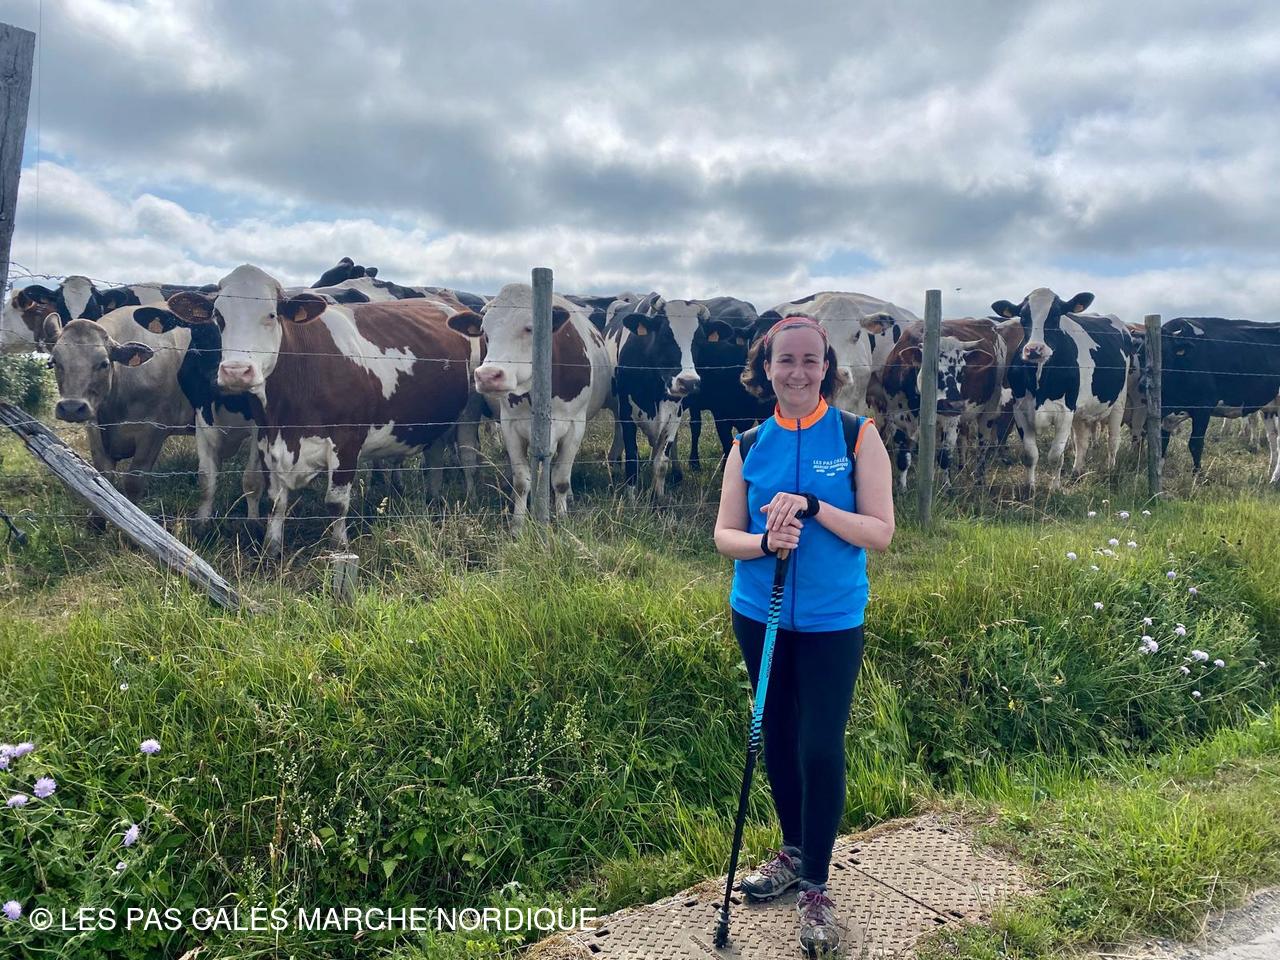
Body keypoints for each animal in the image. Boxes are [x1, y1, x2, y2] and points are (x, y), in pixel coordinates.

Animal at [44, 308, 193, 501]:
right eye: (55, 361)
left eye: (104, 363)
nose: (71, 408)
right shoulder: (95, 431)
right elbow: (104, 480)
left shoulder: (154, 430)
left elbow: (133, 483)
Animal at [167, 264, 477, 557]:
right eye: (219, 317)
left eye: (271, 315)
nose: (236, 372)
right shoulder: (268, 439)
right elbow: (276, 500)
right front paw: (271, 548)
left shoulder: (348, 441)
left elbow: (336, 503)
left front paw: (339, 547)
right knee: (434, 457)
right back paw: (432, 499)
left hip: (466, 414)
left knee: (465, 456)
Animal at [449, 283, 613, 529]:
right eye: (485, 332)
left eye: (530, 328)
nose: (488, 376)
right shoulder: (510, 425)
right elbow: (521, 480)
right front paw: (518, 524)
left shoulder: (575, 425)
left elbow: (561, 478)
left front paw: (562, 518)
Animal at [991, 288, 1133, 492]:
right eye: (1023, 317)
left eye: (1055, 315)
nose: (1034, 349)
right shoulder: (1020, 410)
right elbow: (1030, 454)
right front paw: (1030, 488)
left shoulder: (1065, 412)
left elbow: (1056, 455)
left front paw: (1055, 488)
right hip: (1080, 411)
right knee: (1082, 442)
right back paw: (1077, 471)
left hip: (1118, 402)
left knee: (1113, 441)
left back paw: (1110, 470)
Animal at [1145, 317, 1280, 482]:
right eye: (1141, 354)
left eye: (1166, 354)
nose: (1144, 383)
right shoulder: (1166, 413)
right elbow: (1162, 443)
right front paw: (1159, 473)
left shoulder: (1203, 408)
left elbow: (1195, 444)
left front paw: (1197, 477)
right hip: (1269, 407)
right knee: (1273, 437)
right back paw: (1270, 473)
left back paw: (1274, 478)